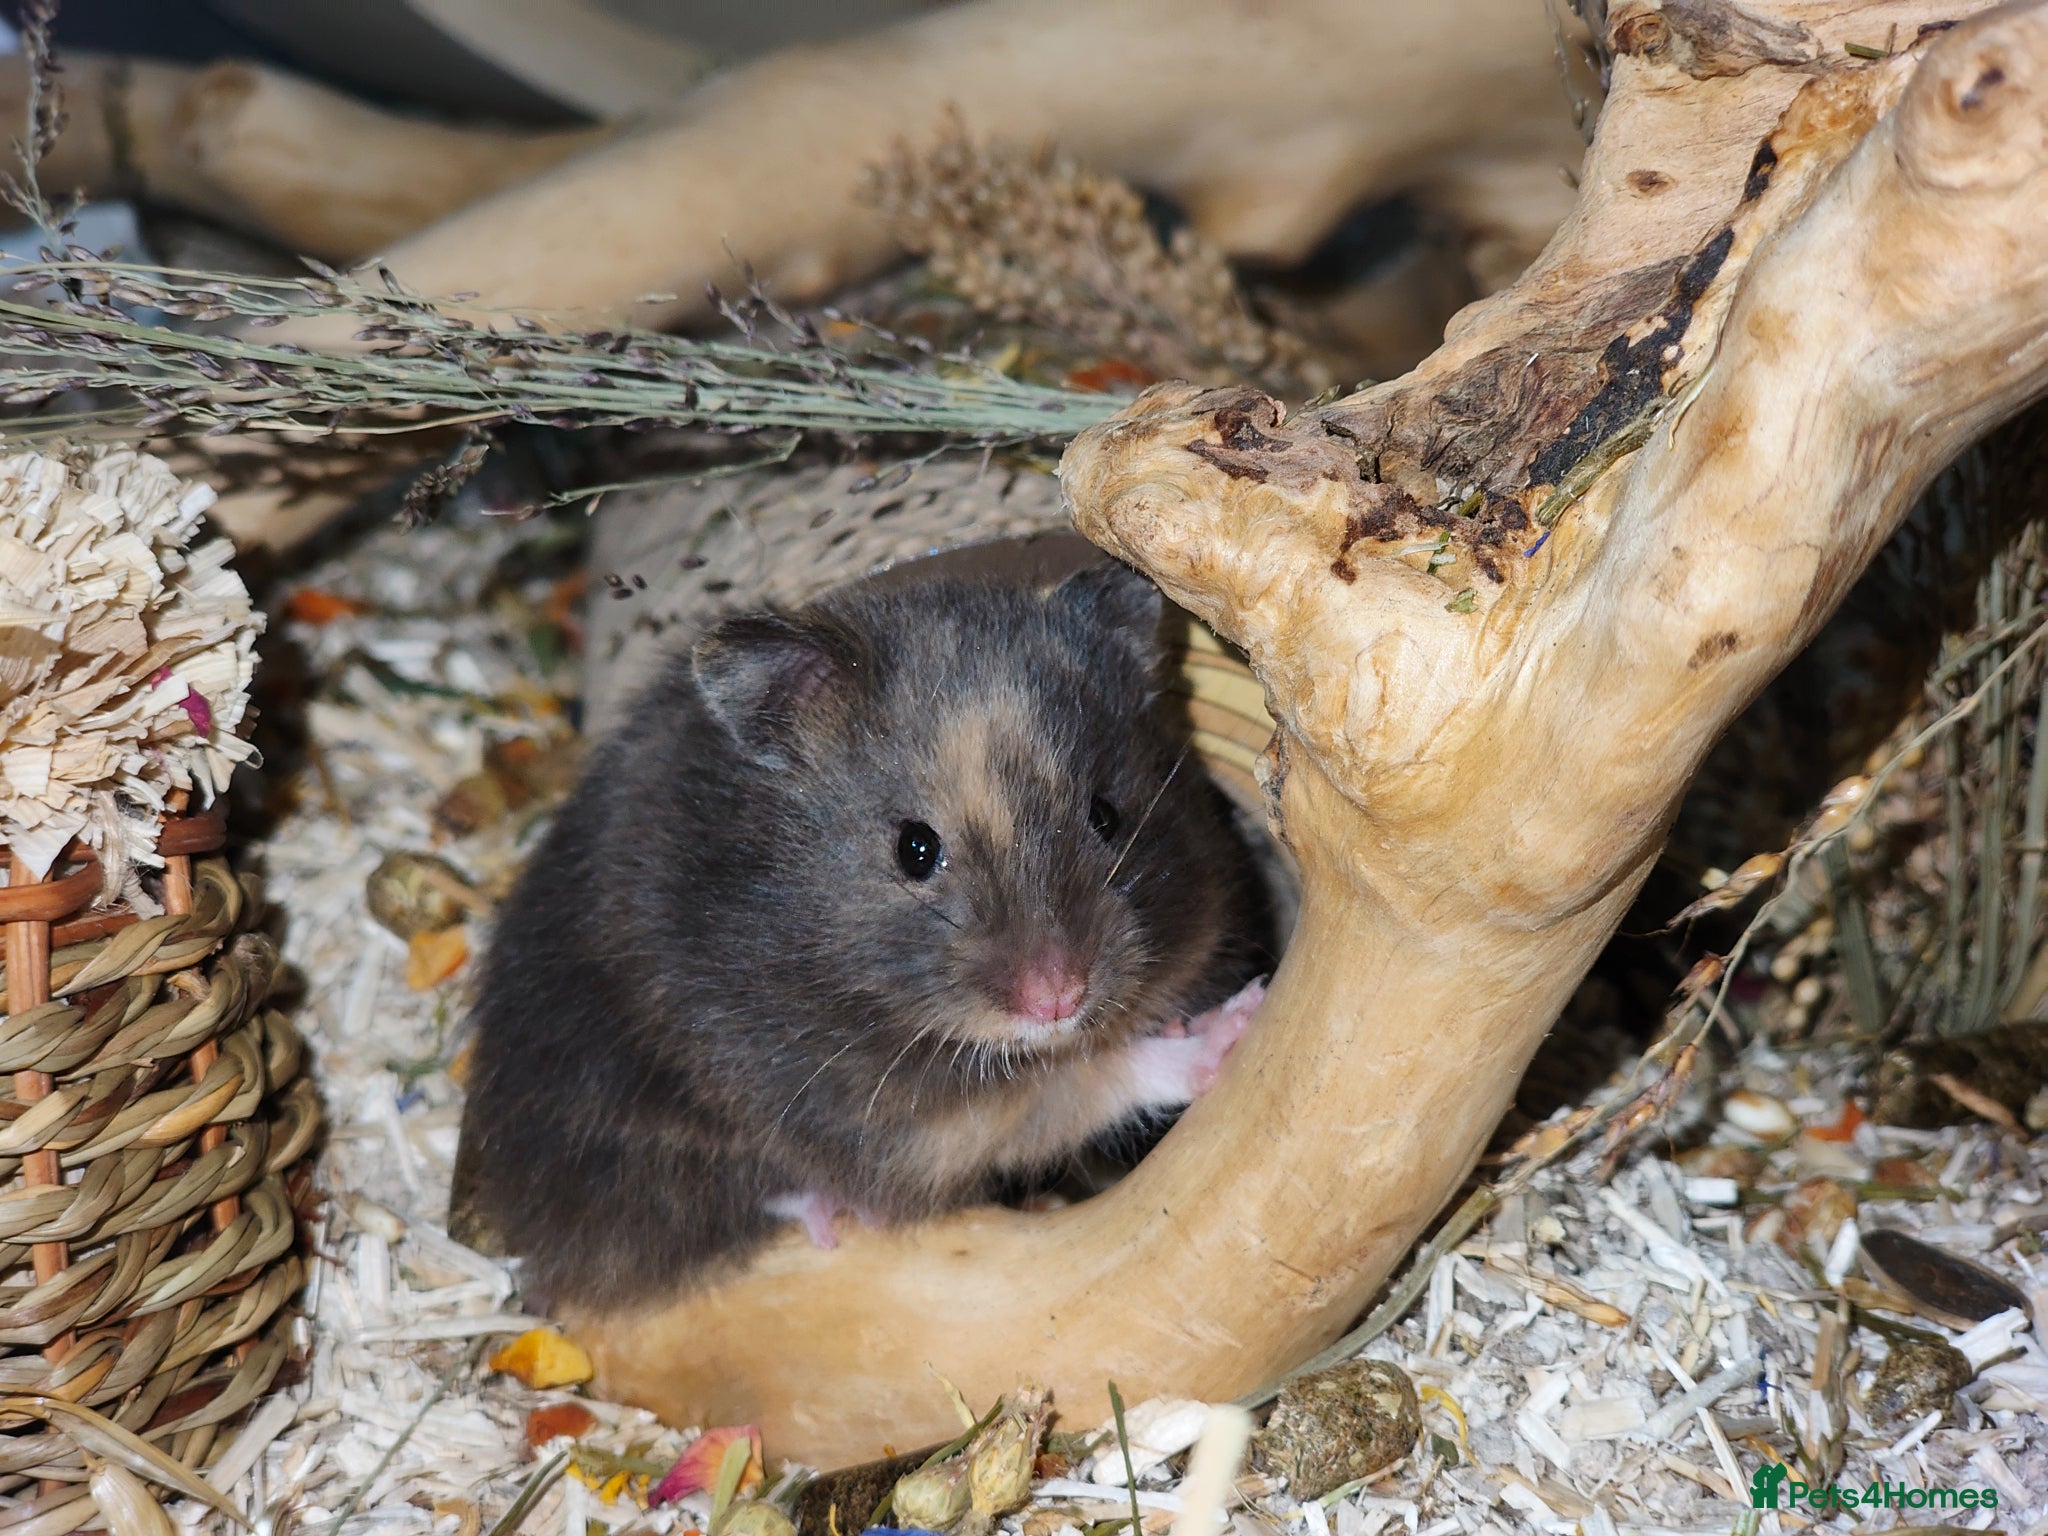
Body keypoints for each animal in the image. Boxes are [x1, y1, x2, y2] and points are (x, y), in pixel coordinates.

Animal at [458, 559, 1272, 1309]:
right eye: (914, 848)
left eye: (1108, 816)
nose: (1058, 998)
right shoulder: (903, 1123)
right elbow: (1091, 1082)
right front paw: (1239, 1021)